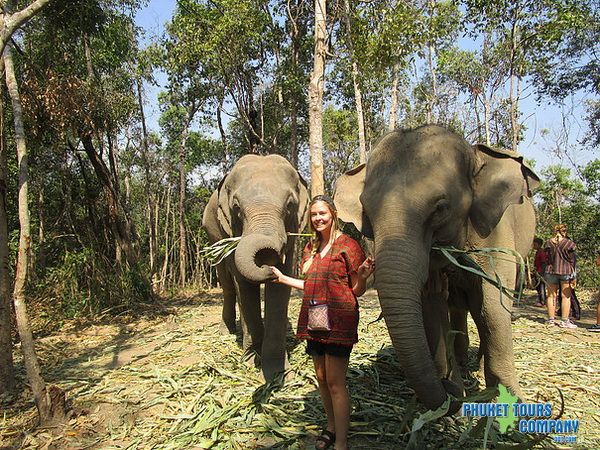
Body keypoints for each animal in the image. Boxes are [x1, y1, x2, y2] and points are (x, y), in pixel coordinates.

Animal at [203, 154, 310, 380]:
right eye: (236, 207)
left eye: (290, 205)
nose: (267, 264)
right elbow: (243, 286)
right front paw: (252, 359)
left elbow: (279, 290)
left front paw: (278, 372)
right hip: (212, 235)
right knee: (227, 284)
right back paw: (227, 332)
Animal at [332, 124, 540, 412]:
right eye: (368, 214)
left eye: (440, 208)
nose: (446, 391)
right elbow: (432, 302)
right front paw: (453, 390)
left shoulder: (495, 234)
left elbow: (492, 304)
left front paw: (508, 400)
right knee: (457, 306)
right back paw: (462, 362)